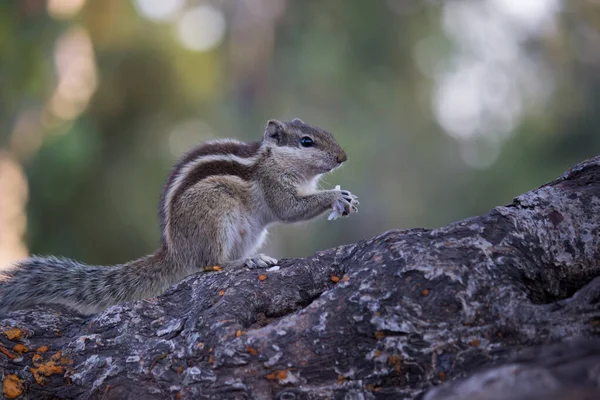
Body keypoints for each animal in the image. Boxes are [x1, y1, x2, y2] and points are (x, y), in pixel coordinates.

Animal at [0, 119, 356, 316]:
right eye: (306, 141)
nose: (343, 157)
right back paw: (246, 262)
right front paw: (336, 197)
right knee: (210, 264)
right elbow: (289, 210)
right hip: (216, 215)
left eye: (325, 132)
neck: (273, 160)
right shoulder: (274, 187)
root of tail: (175, 250)